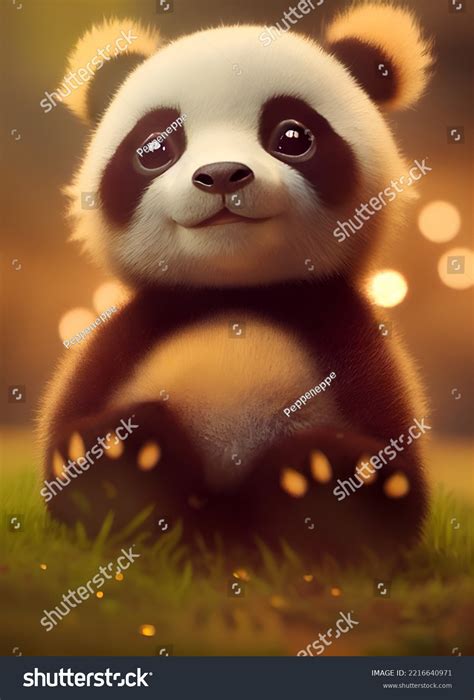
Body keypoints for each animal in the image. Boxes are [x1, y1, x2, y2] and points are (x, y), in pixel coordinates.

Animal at [38, 3, 433, 561]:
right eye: (154, 147)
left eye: (293, 137)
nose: (222, 174)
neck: (236, 293)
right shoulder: (133, 327)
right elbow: (62, 446)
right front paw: (101, 457)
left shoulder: (345, 332)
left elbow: (401, 475)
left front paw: (349, 483)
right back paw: (123, 462)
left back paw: (320, 485)